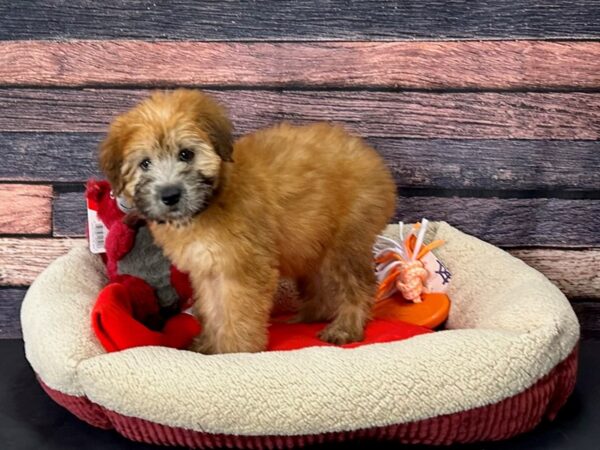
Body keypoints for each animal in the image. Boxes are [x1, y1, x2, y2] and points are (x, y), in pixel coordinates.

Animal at [100, 89, 396, 354]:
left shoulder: (242, 268)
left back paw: (346, 326)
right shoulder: (208, 270)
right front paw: (210, 344)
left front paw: (234, 352)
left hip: (345, 243)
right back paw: (308, 316)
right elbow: (214, 310)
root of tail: (370, 158)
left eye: (186, 154)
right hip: (313, 242)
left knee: (357, 286)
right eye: (145, 163)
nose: (170, 195)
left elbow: (237, 315)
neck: (210, 201)